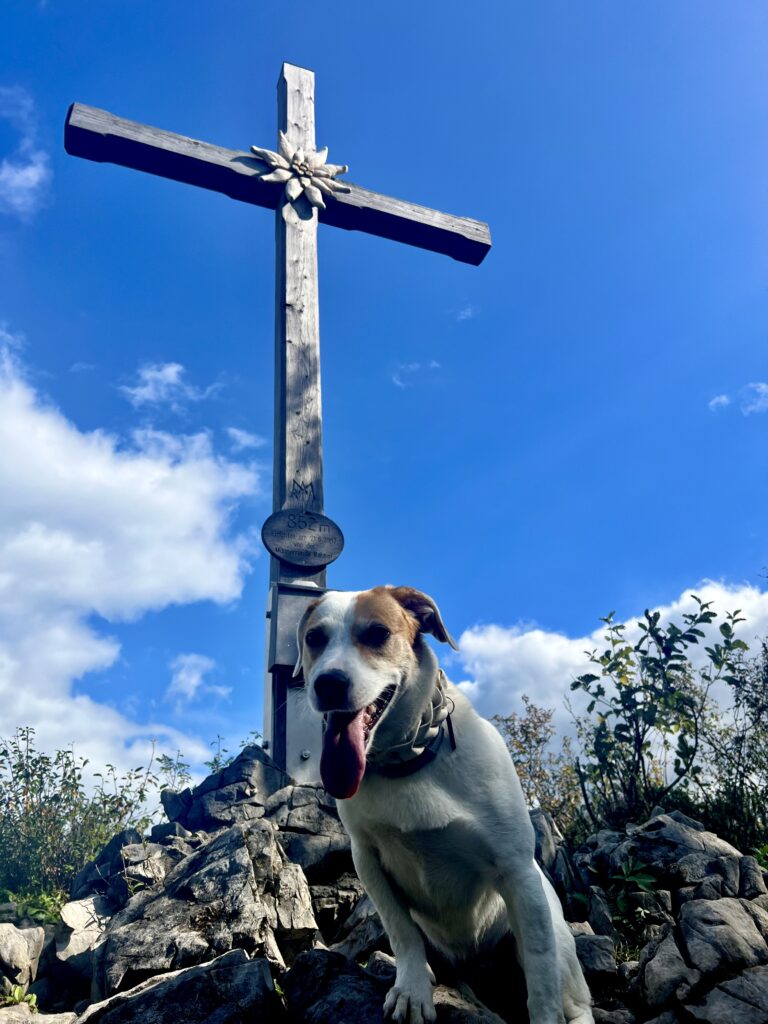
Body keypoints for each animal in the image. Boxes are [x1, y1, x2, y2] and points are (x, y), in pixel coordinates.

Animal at [294, 585, 593, 1024]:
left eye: (377, 633)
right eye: (314, 638)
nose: (328, 683)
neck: (409, 760)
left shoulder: (518, 873)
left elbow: (541, 979)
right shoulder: (367, 860)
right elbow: (402, 933)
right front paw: (413, 991)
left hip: (556, 939)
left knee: (572, 997)